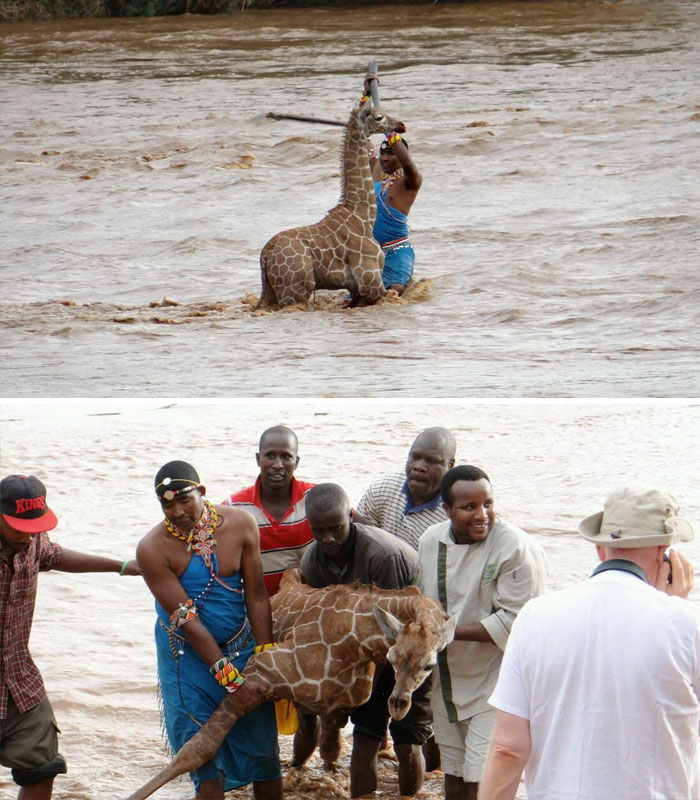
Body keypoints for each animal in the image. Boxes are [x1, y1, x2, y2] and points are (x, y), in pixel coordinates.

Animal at [126, 568, 456, 800]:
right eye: (392, 657)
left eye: (429, 664)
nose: (398, 704)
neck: (354, 641)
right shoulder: (258, 674)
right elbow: (196, 750)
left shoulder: (334, 703)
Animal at [255, 101, 406, 309]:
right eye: (379, 117)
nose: (401, 125)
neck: (363, 215)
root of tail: (265, 254)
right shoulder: (371, 282)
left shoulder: (357, 290)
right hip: (295, 291)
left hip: (272, 293)